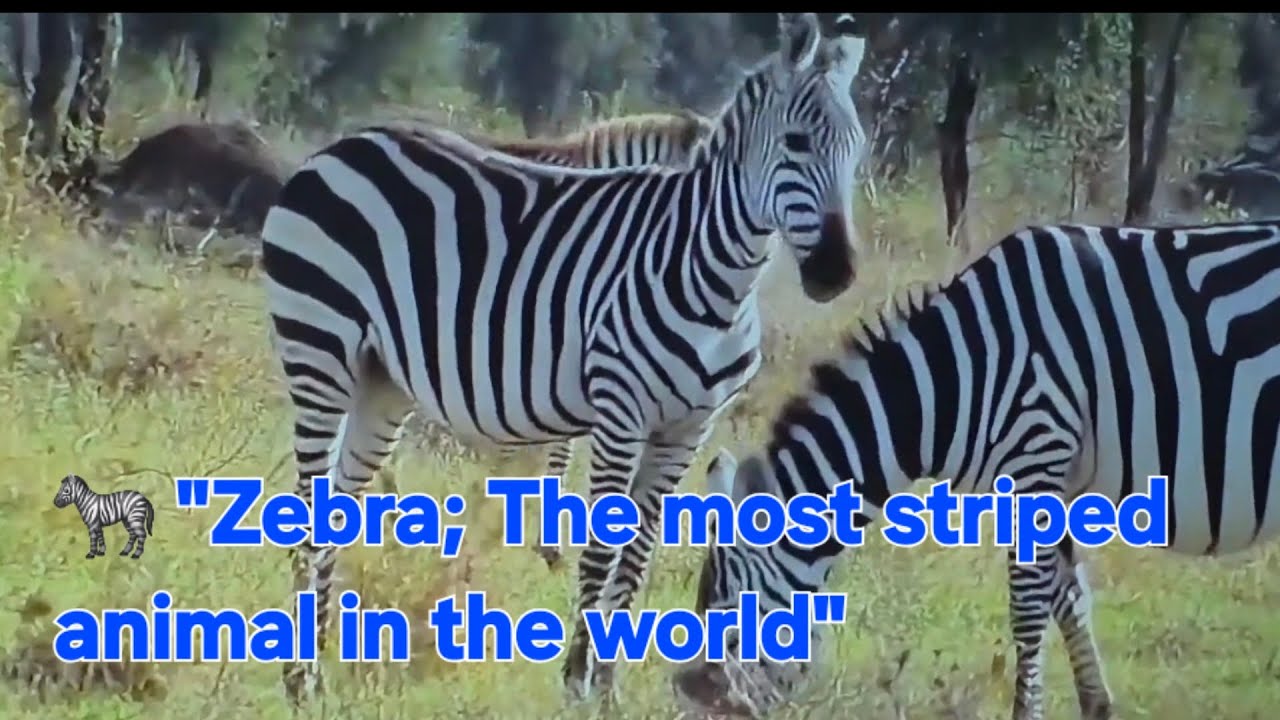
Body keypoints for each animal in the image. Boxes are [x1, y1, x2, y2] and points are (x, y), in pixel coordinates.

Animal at [262, 11, 867, 706]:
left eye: (857, 152)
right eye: (796, 143)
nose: (837, 273)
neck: (711, 276)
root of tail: (342, 146)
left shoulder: (687, 429)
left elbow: (638, 555)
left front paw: (607, 689)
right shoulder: (620, 413)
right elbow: (600, 550)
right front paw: (576, 681)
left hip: (380, 380)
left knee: (335, 509)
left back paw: (313, 675)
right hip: (319, 348)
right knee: (307, 511)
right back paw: (298, 676)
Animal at [673, 220, 1280, 720]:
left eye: (727, 611)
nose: (690, 693)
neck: (959, 376)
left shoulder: (1038, 450)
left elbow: (1029, 609)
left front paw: (1027, 714)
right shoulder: (1055, 478)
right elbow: (1071, 599)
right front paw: (1097, 706)